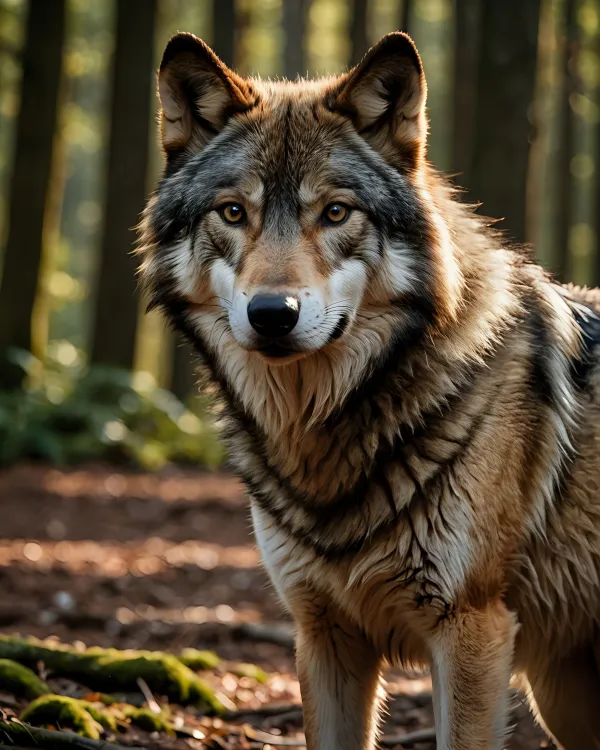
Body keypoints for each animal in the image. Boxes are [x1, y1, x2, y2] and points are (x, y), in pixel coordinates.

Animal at [138, 31, 600, 750]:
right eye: (234, 212)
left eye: (335, 212)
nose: (273, 313)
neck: (323, 435)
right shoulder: (324, 635)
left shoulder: (471, 632)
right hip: (563, 698)